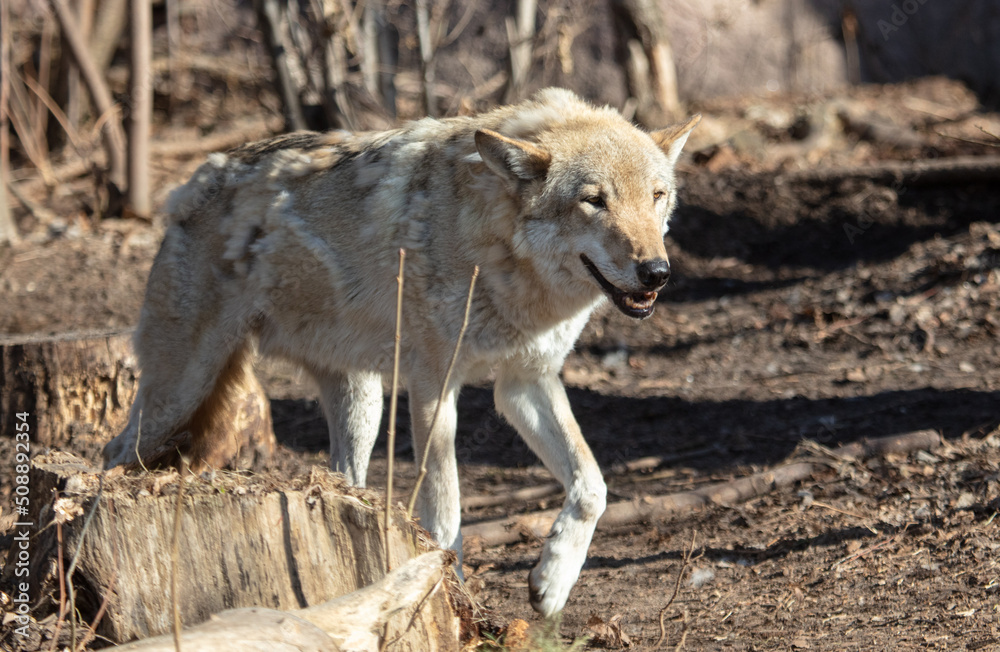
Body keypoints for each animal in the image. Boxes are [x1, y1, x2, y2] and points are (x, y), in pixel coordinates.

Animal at [102, 88, 699, 616]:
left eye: (656, 196)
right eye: (594, 201)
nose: (657, 273)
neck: (497, 250)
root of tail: (193, 181)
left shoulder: (524, 382)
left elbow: (592, 485)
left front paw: (551, 583)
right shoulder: (434, 387)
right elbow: (447, 513)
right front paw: (454, 594)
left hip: (362, 407)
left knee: (345, 483)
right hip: (179, 395)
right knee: (113, 454)